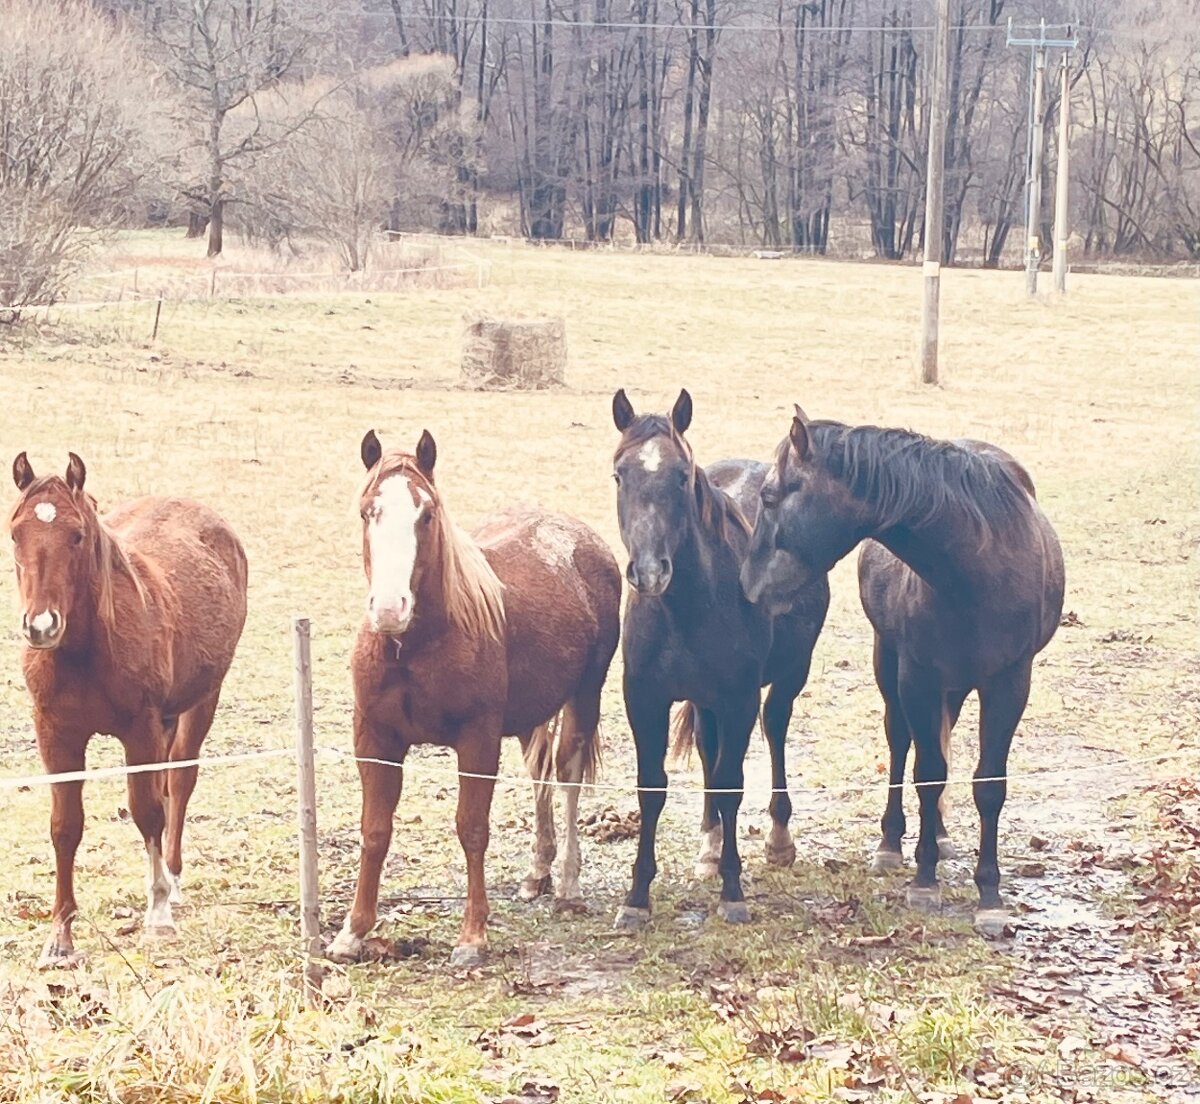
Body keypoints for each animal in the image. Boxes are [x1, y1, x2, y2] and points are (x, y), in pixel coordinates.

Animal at [8, 452, 248, 968]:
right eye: (16, 533)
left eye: (77, 535)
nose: (41, 627)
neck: (86, 650)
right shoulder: (56, 735)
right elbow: (65, 827)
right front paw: (59, 937)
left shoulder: (140, 730)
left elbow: (147, 811)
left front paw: (158, 915)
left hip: (201, 701)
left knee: (179, 782)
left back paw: (171, 882)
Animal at [327, 429, 621, 967]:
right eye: (366, 511)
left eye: (426, 514)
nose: (389, 609)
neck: (414, 646)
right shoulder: (374, 739)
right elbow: (375, 831)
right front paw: (352, 932)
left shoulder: (477, 740)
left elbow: (472, 829)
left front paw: (473, 936)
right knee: (540, 773)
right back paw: (537, 874)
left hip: (584, 697)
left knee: (566, 777)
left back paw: (568, 886)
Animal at [610, 389, 829, 929]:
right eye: (620, 474)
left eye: (680, 476)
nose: (649, 572)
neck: (688, 606)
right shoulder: (643, 698)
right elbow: (653, 787)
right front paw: (637, 896)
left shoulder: (738, 698)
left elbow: (731, 783)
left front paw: (733, 891)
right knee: (710, 751)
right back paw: (708, 846)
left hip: (789, 676)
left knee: (775, 729)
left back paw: (778, 840)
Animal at [740, 409, 1064, 934]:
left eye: (770, 497)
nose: (747, 584)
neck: (977, 571)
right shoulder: (917, 676)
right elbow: (925, 772)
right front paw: (924, 879)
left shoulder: (1011, 681)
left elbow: (988, 785)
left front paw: (989, 894)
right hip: (891, 663)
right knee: (900, 743)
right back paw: (893, 845)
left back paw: (943, 835)